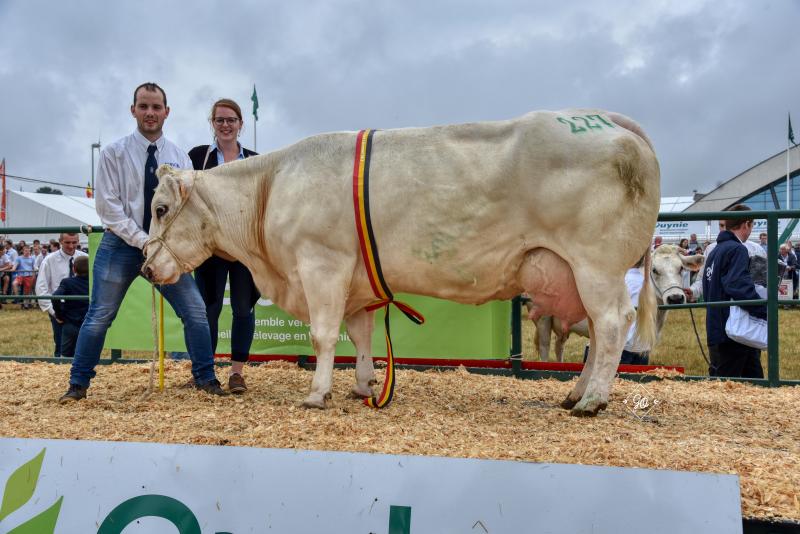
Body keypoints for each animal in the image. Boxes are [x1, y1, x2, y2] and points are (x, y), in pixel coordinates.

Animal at [141, 110, 660, 418]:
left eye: (161, 208)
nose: (145, 268)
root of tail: (607, 121)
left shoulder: (321, 262)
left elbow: (324, 335)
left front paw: (317, 393)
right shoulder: (357, 280)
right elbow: (361, 335)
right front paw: (365, 385)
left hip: (596, 264)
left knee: (611, 323)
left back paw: (591, 400)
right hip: (584, 271)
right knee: (599, 331)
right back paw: (574, 393)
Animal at [528, 247, 704, 364]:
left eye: (681, 268)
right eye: (654, 270)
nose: (676, 298)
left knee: (559, 346)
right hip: (543, 318)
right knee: (544, 346)